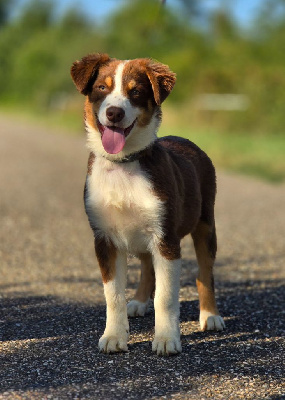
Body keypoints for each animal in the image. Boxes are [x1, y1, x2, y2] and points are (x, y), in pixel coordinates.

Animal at [70, 53, 224, 356]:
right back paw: (139, 302)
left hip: (205, 224)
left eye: (136, 92)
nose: (114, 113)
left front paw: (165, 339)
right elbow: (113, 294)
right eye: (102, 88)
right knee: (146, 267)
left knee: (205, 273)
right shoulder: (104, 238)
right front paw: (114, 336)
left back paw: (210, 316)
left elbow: (165, 296)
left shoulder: (165, 237)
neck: (123, 165)